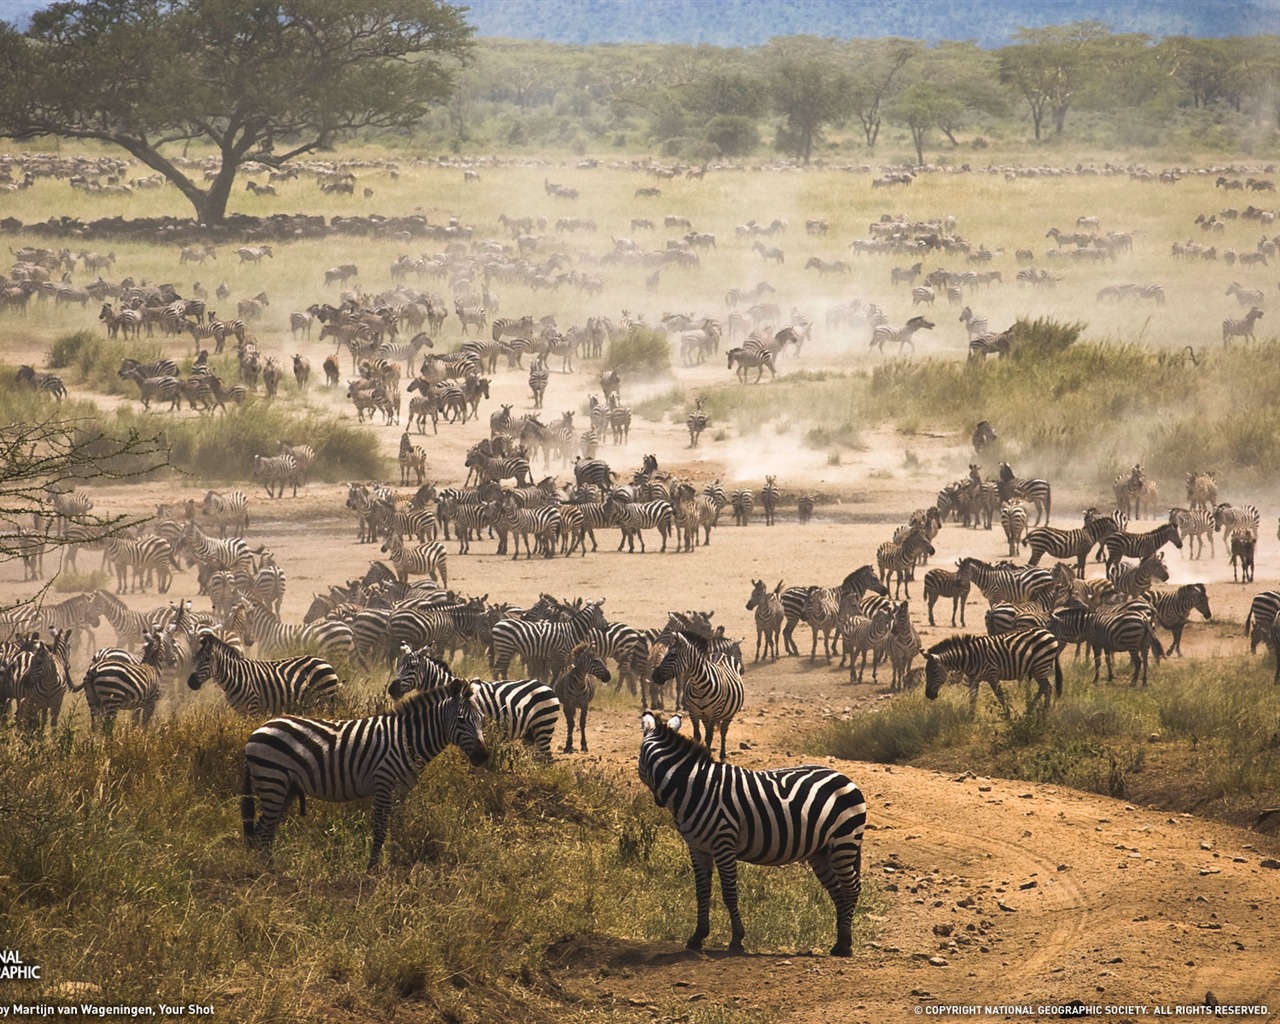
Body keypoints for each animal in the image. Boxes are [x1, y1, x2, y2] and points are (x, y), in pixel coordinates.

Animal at [186, 632, 340, 721]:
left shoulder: (253, 708)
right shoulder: (240, 711)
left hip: (323, 700)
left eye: (207, 659)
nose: (191, 683)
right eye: (195, 658)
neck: (235, 677)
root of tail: (325, 662)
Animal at [240, 675, 483, 870]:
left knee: (264, 828)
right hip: (273, 780)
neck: (407, 739)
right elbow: (381, 829)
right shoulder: (384, 783)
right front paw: (372, 868)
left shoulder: (402, 790)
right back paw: (269, 871)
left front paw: (396, 858)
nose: (484, 755)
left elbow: (398, 827)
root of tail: (258, 729)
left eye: (481, 718)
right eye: (461, 719)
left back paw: (267, 867)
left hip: (286, 787)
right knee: (265, 828)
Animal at [634, 706, 865, 957]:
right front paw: (697, 937)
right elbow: (702, 891)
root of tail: (844, 777)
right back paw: (840, 941)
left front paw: (736, 939)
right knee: (837, 890)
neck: (692, 786)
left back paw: (844, 944)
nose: (657, 801)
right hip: (821, 850)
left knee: (851, 888)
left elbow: (729, 892)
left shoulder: (723, 842)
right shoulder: (697, 847)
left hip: (844, 841)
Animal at [655, 627, 747, 762]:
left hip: (728, 714)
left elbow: (709, 737)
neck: (699, 686)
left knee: (723, 732)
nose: (653, 676)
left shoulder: (714, 713)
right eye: (740, 653)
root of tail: (721, 654)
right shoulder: (693, 713)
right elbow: (697, 736)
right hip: (704, 715)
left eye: (672, 655)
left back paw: (722, 756)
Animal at [926, 627, 1064, 716]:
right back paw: (1031, 710)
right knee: (1043, 688)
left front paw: (1008, 715)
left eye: (934, 672)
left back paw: (1044, 714)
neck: (970, 657)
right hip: (1036, 669)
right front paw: (970, 717)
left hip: (1041, 665)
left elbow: (1000, 696)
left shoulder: (992, 675)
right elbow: (972, 697)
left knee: (1047, 688)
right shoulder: (973, 678)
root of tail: (1049, 633)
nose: (928, 695)